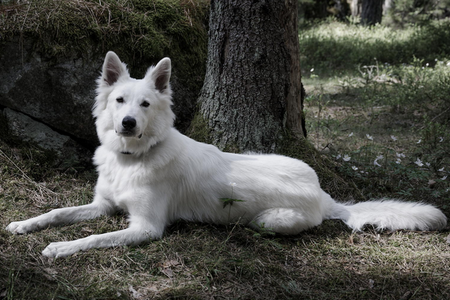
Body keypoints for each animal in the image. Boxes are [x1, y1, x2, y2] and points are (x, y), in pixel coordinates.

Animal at [5, 51, 448, 258]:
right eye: (119, 101)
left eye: (145, 104)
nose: (128, 123)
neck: (134, 156)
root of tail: (325, 196)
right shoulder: (103, 205)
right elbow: (58, 212)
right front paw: (24, 224)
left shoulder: (145, 228)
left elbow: (95, 237)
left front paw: (61, 247)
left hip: (267, 221)